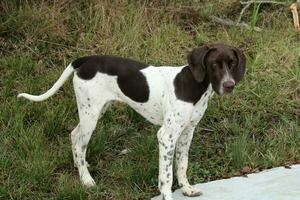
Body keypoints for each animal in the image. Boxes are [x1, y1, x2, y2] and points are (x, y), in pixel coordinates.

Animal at [17, 43, 245, 199]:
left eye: (232, 64)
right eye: (214, 64)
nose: (230, 85)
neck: (195, 86)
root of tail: (85, 60)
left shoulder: (187, 133)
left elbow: (182, 165)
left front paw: (187, 189)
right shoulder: (167, 136)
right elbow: (166, 175)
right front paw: (167, 195)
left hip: (94, 111)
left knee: (75, 135)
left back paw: (80, 166)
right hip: (91, 114)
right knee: (81, 142)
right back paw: (86, 179)